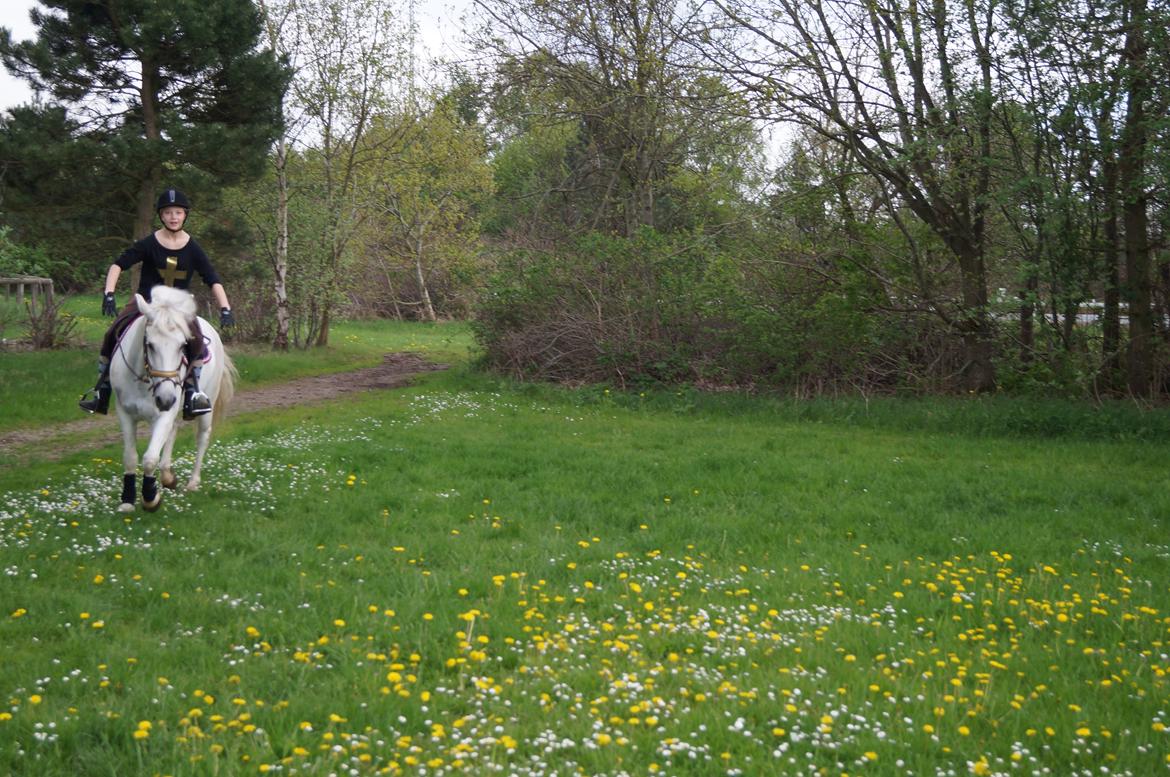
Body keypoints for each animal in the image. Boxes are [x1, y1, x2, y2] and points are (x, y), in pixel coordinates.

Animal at [109, 284, 235, 510]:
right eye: (150, 345)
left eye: (182, 345)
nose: (166, 399)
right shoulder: (125, 412)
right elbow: (130, 457)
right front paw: (128, 500)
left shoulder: (163, 414)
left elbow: (150, 457)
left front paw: (151, 498)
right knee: (173, 432)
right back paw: (167, 475)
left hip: (205, 408)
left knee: (202, 437)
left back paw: (192, 482)